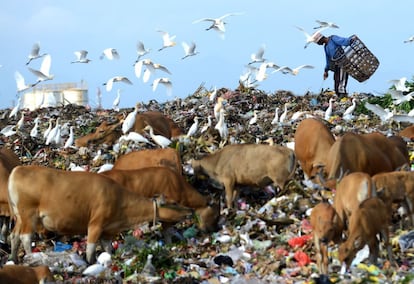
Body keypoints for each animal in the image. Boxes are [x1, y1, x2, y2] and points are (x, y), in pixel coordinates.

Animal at [7, 165, 193, 262]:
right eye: (174, 203)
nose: (189, 210)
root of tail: (18, 169)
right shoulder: (95, 225)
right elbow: (90, 250)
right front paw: (90, 263)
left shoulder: (108, 231)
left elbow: (108, 250)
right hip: (29, 214)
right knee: (25, 237)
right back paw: (32, 257)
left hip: (19, 216)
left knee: (14, 236)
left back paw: (13, 259)